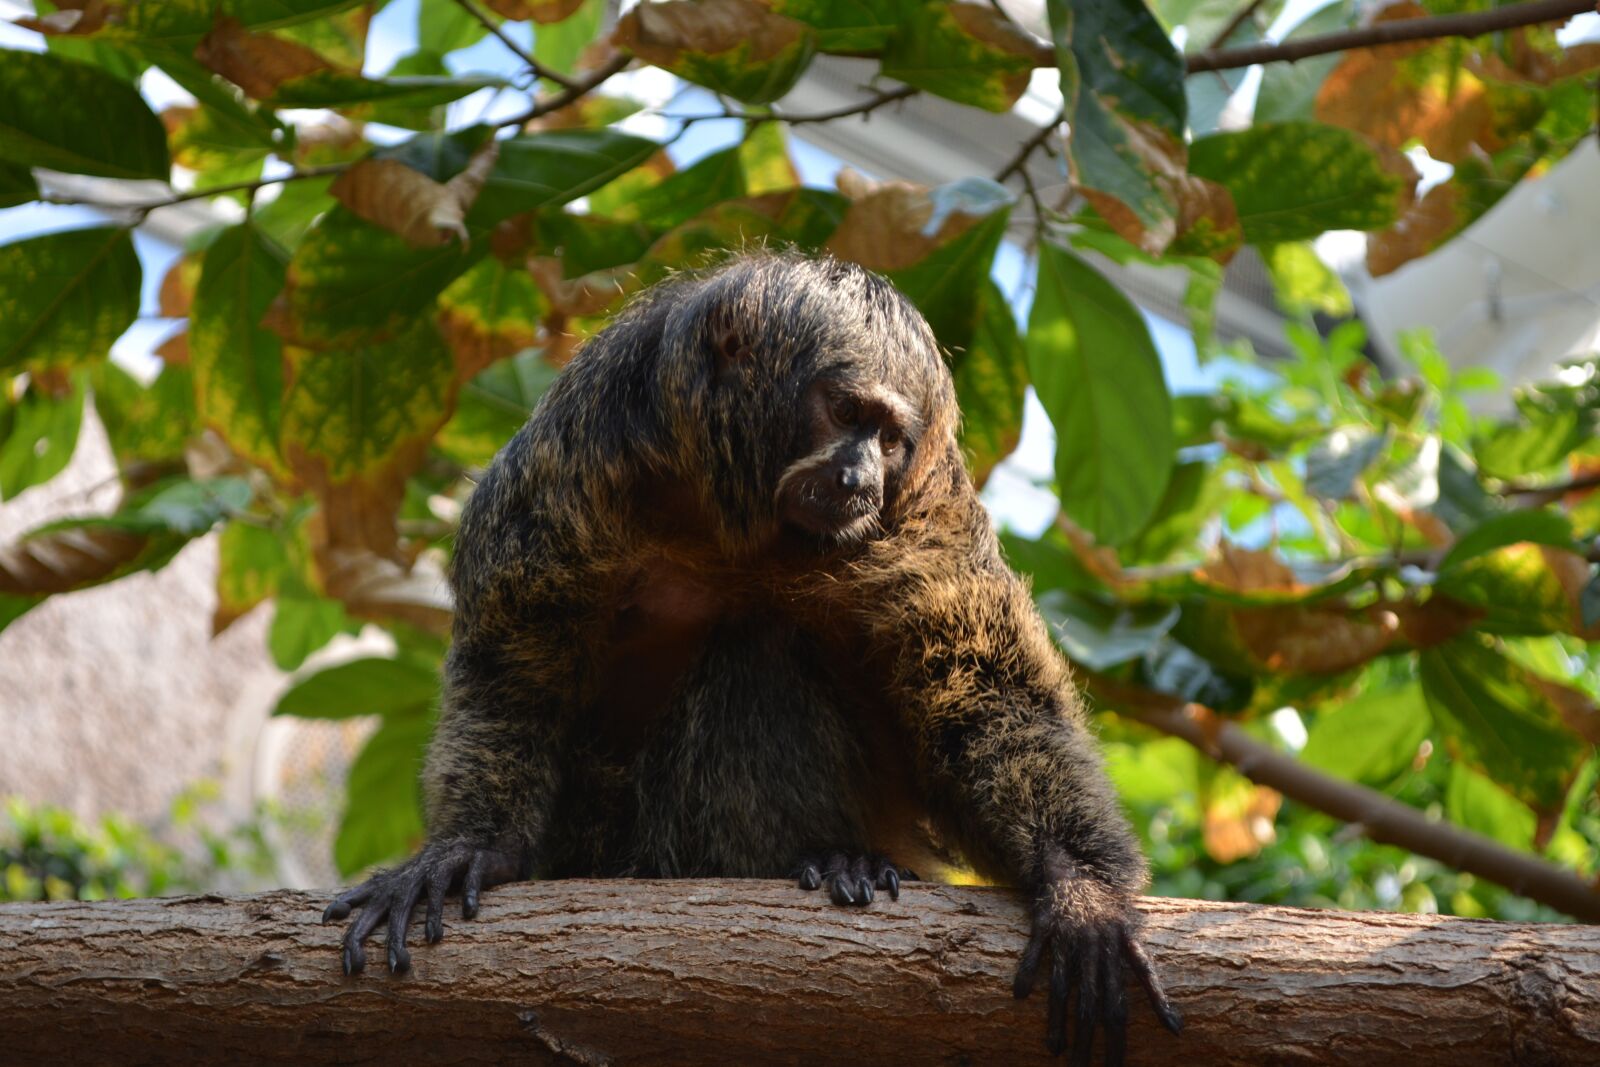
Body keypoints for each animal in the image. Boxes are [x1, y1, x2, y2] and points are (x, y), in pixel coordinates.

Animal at [321, 253, 1182, 1062]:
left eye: (892, 439)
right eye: (846, 413)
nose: (859, 475)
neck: (734, 518)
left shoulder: (927, 508)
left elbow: (982, 690)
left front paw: (1079, 889)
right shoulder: (568, 459)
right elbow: (514, 664)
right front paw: (470, 845)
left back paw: (840, 855)